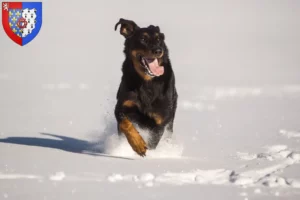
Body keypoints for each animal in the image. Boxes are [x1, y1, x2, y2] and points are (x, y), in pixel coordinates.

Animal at [113, 18, 177, 156]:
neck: (147, 82)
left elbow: (153, 142)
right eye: (143, 39)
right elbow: (125, 124)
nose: (158, 50)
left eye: (159, 39)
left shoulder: (161, 121)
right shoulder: (121, 107)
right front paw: (138, 145)